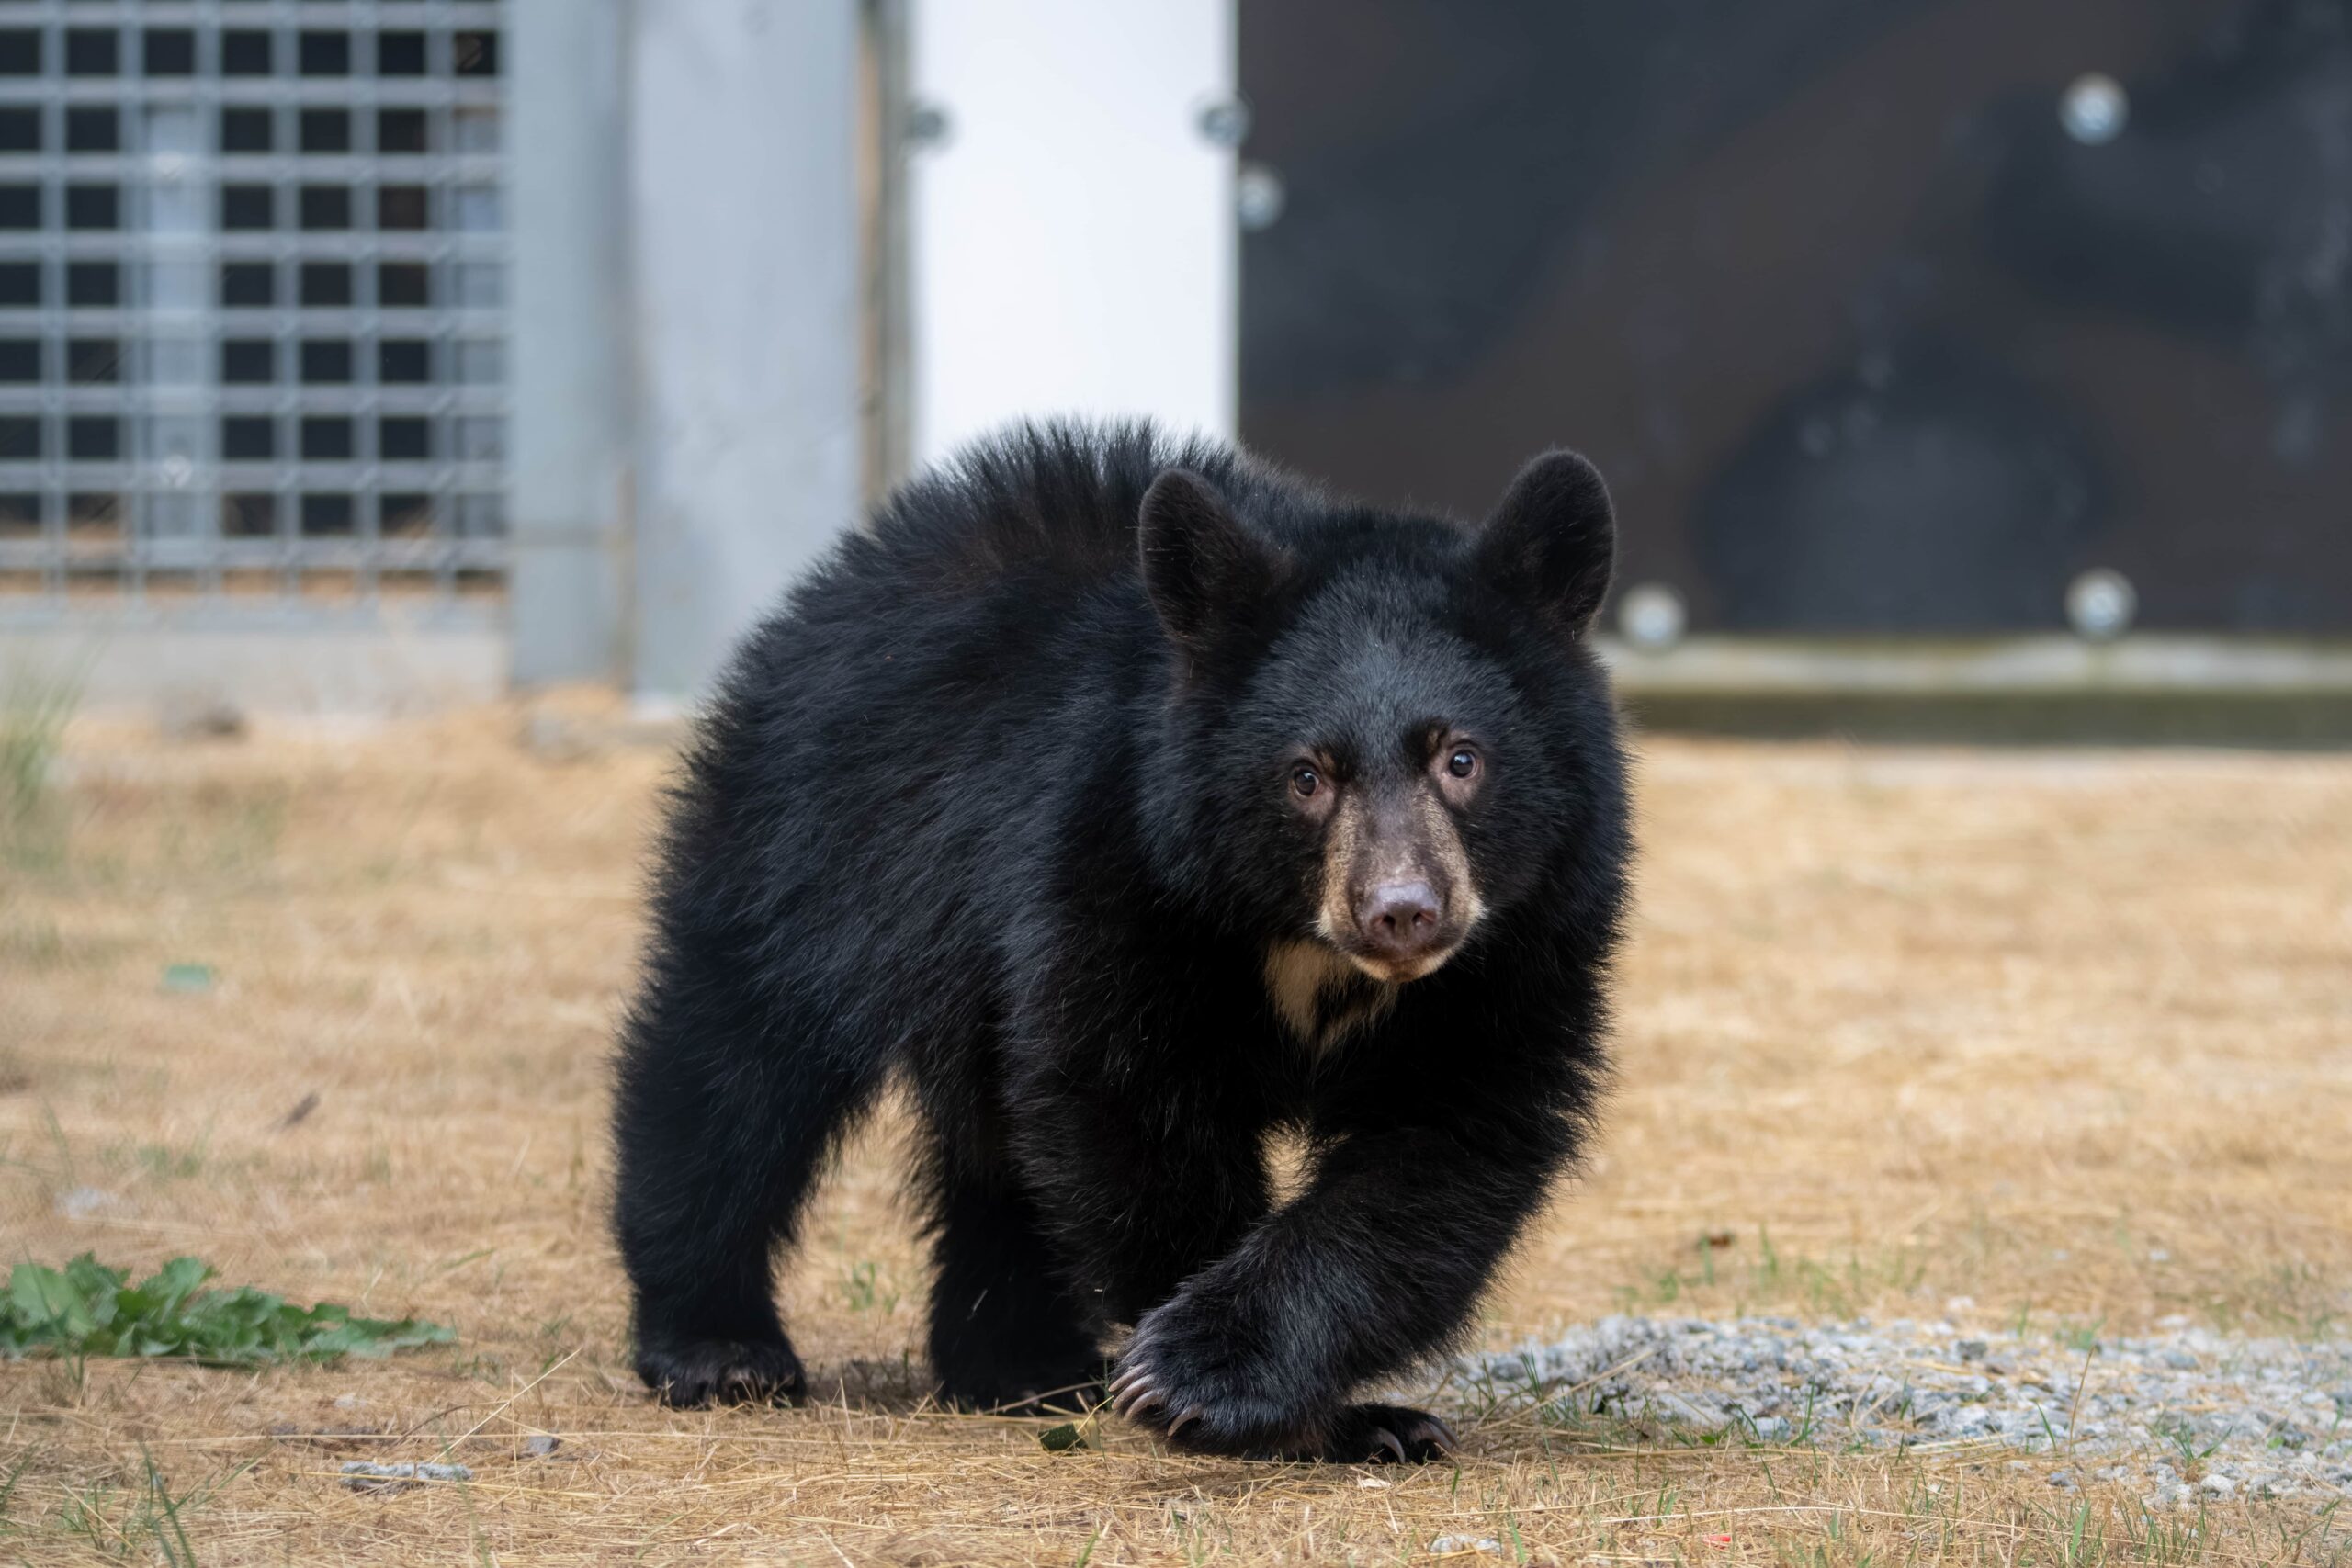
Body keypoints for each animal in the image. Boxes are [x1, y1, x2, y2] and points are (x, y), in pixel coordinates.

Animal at [611, 420, 1631, 1463]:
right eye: (1307, 774)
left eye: (1461, 758)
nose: (1401, 912)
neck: (1304, 943)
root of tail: (854, 562)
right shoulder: (1123, 858)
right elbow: (1129, 1099)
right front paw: (1208, 1382)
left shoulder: (1520, 945)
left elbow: (1443, 1146)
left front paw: (1310, 1402)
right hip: (819, 841)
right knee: (738, 1065)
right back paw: (719, 1344)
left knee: (992, 1150)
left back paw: (1020, 1363)